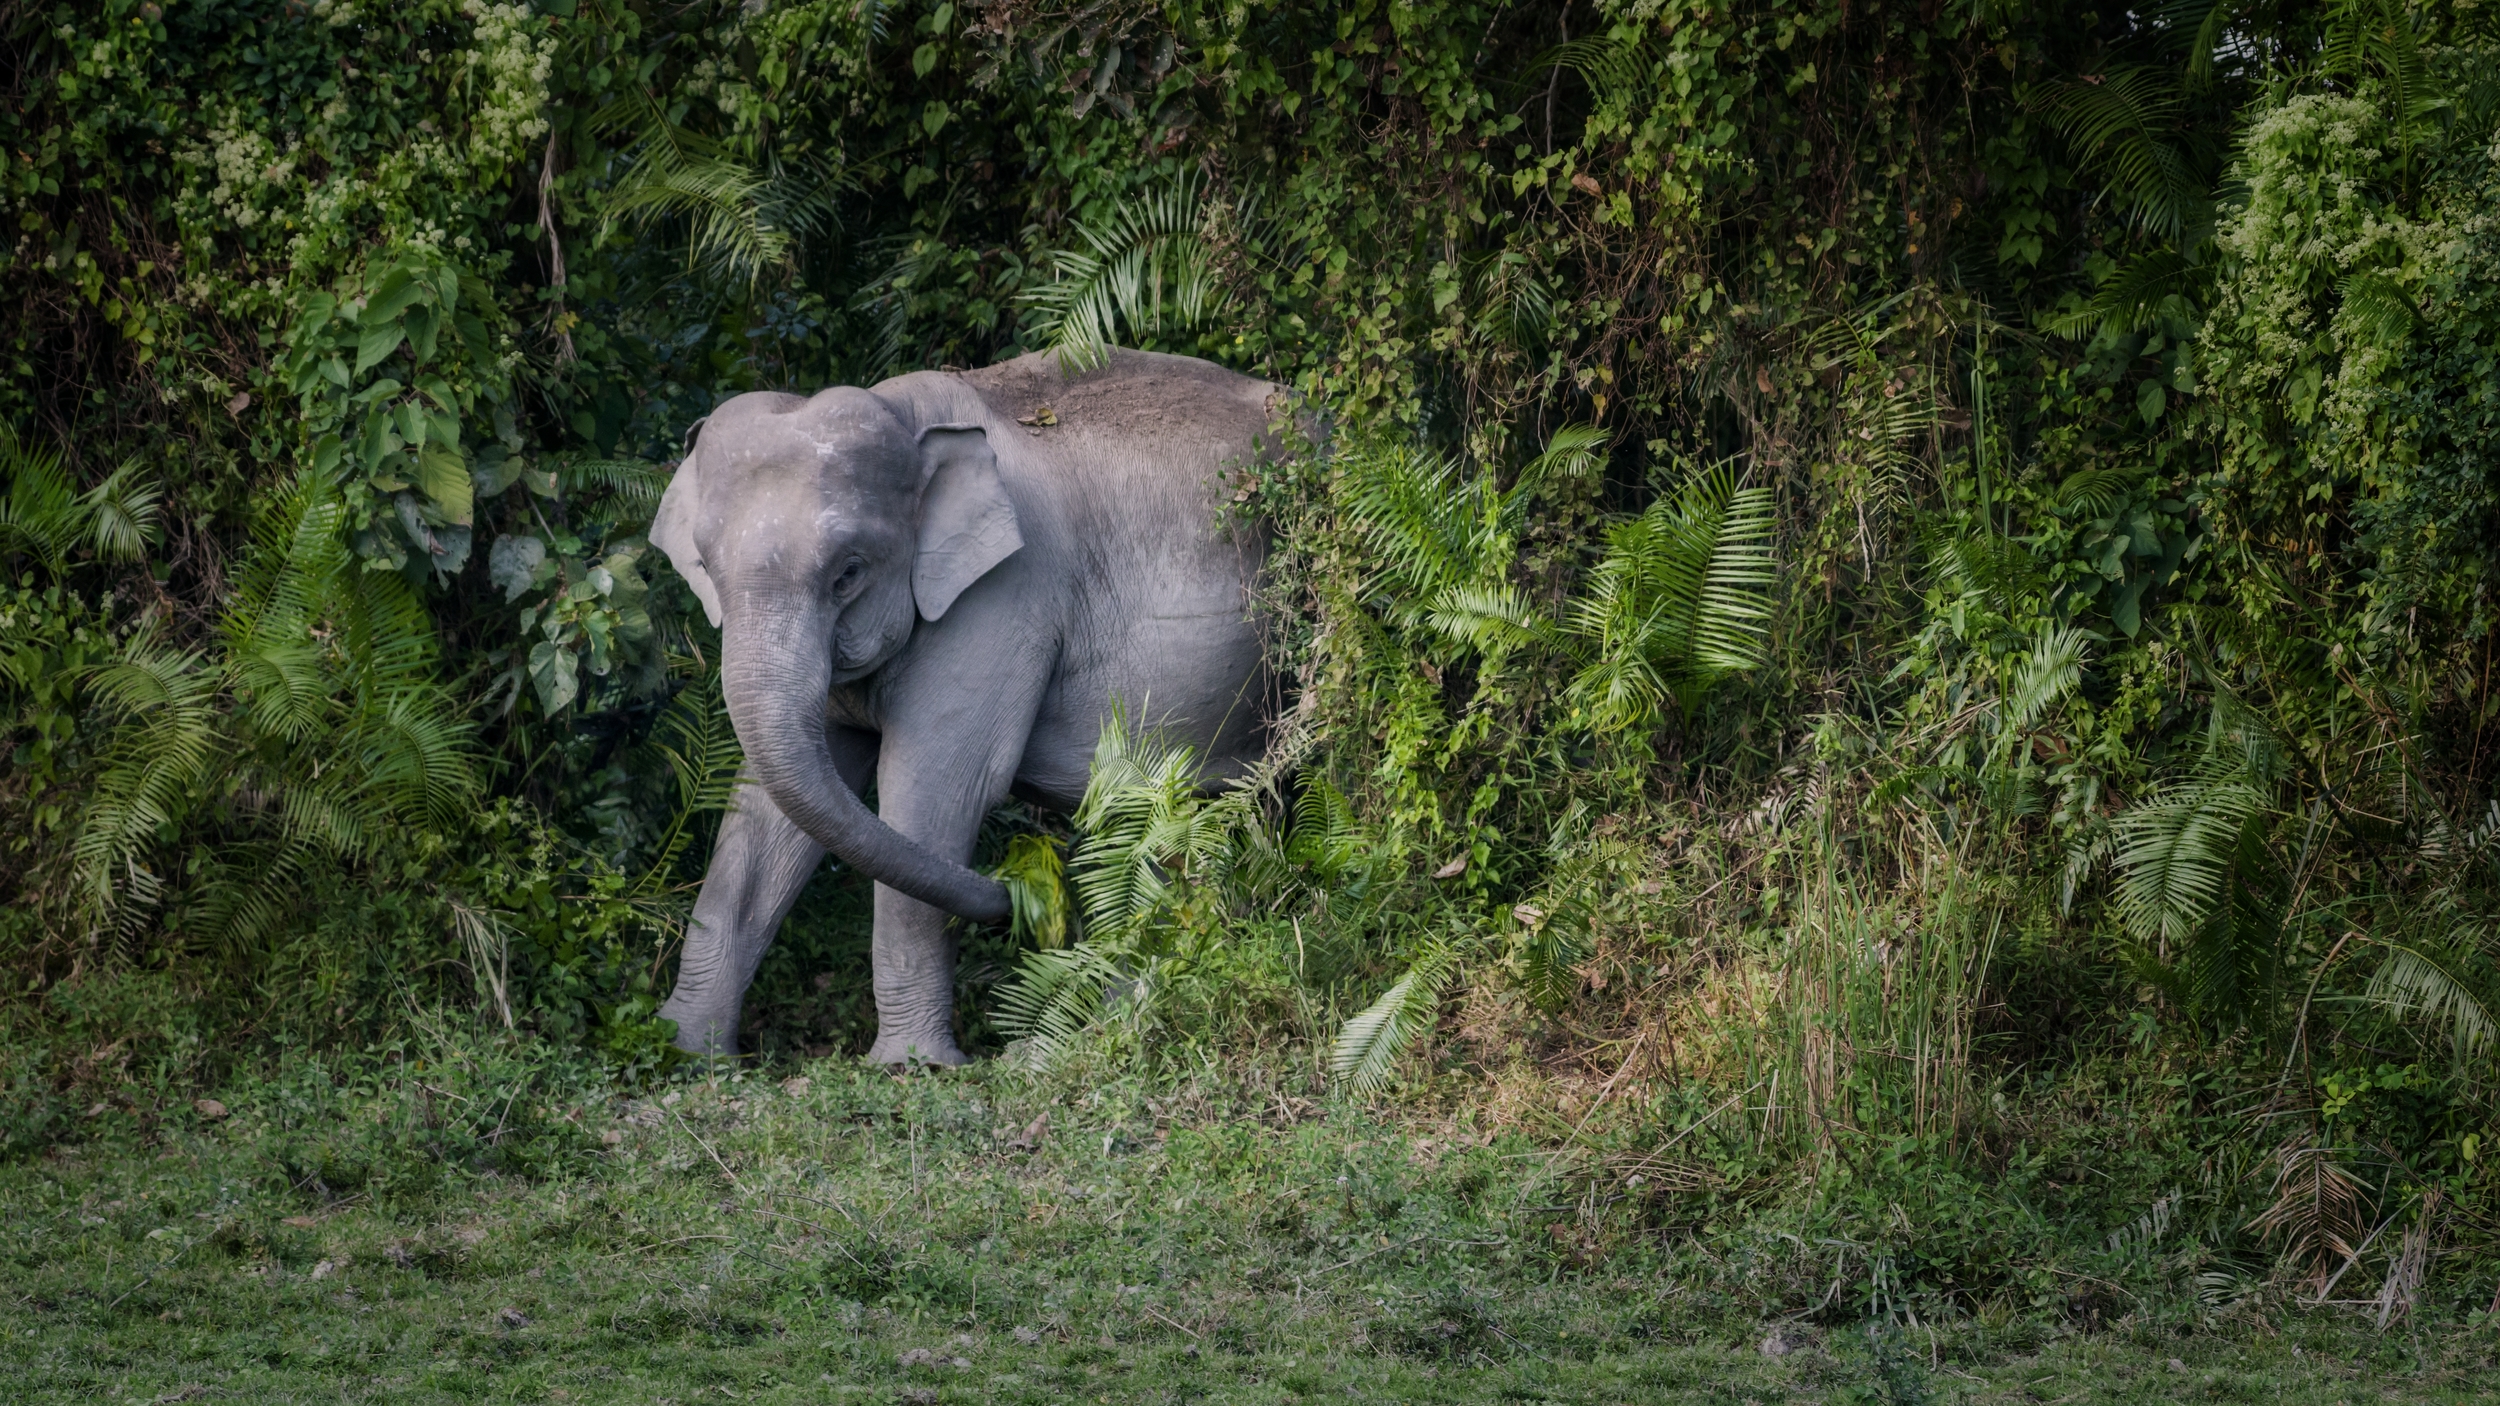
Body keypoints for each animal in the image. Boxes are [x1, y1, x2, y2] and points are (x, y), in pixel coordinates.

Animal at [645, 347, 1290, 1060]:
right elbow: (763, 811)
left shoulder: (1005, 594)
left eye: (849, 572)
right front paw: (685, 1050)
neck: (909, 417)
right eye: (705, 565)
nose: (1028, 894)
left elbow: (935, 789)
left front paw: (913, 1066)